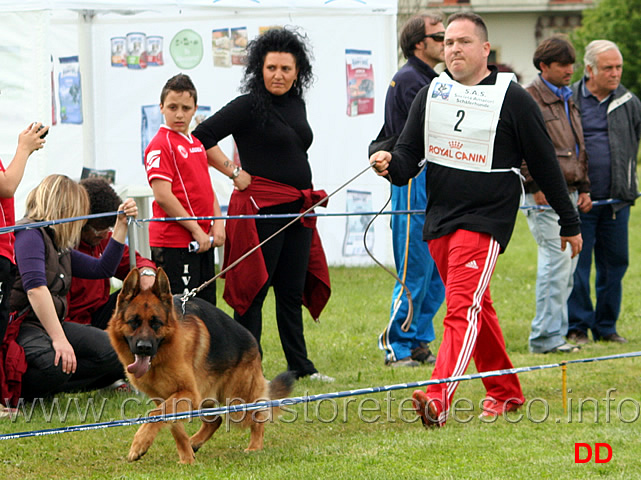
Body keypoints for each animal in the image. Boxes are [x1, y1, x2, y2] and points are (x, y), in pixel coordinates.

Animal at [108, 268, 296, 464]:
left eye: (156, 323)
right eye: (133, 322)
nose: (144, 347)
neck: (163, 353)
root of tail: (252, 340)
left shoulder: (188, 393)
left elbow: (155, 414)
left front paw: (139, 444)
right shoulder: (167, 397)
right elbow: (174, 426)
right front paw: (186, 459)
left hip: (236, 399)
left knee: (258, 413)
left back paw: (255, 446)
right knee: (216, 420)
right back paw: (195, 443)